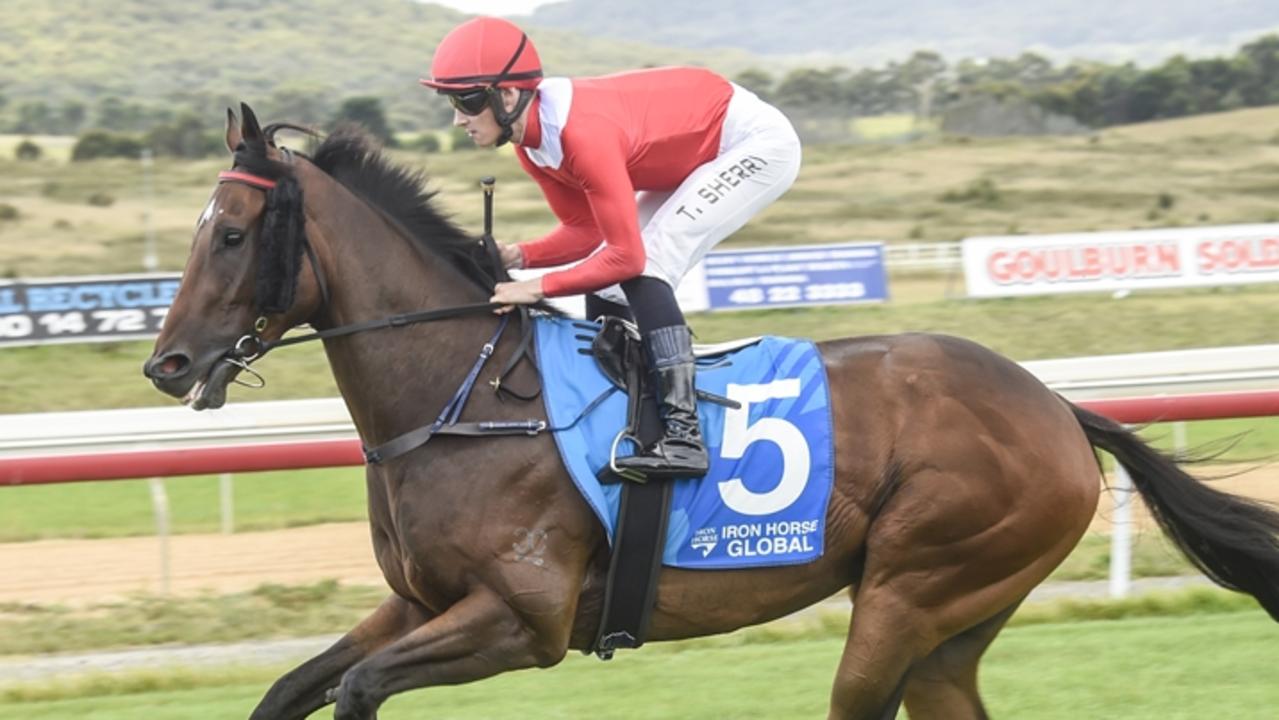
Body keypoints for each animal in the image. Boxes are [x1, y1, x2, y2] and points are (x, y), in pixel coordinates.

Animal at [142, 105, 1279, 720]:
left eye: (232, 234)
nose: (167, 363)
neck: (462, 393)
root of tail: (1055, 408)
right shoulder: (420, 605)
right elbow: (295, 687)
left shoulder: (519, 621)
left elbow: (358, 689)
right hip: (954, 625)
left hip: (916, 587)